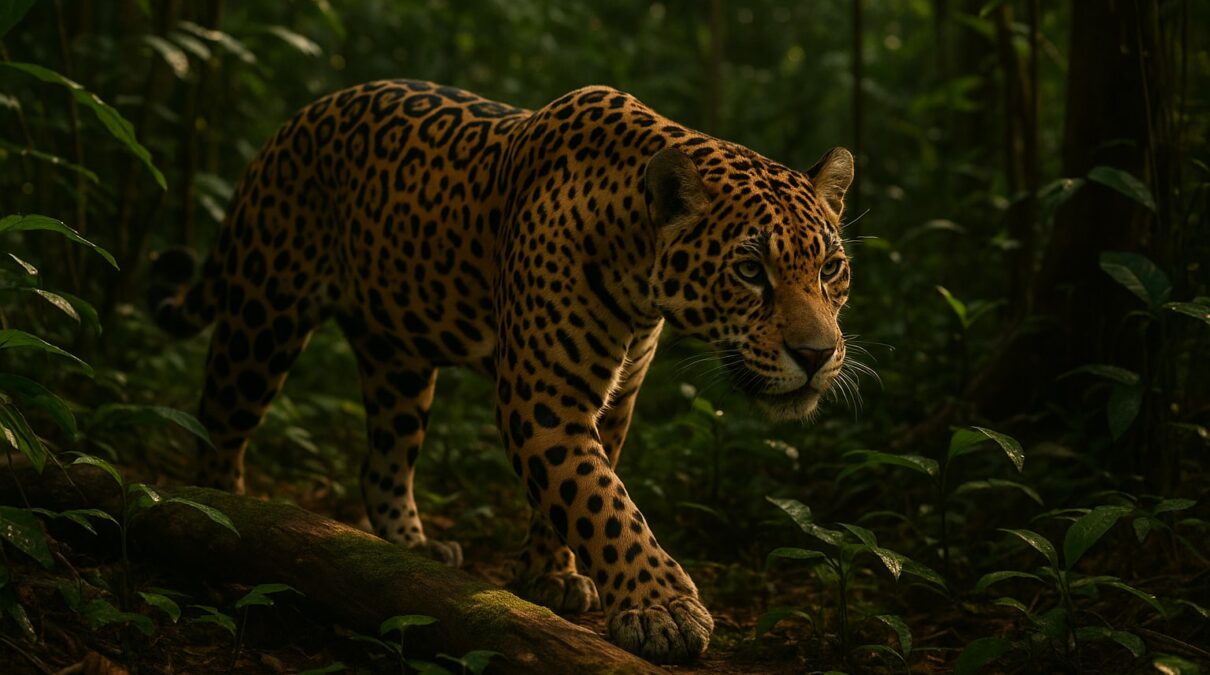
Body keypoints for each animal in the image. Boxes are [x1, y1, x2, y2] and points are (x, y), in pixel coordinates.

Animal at [149, 79, 854, 663]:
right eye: (750, 271)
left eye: (830, 269)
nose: (818, 356)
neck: (637, 269)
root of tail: (293, 121)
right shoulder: (543, 398)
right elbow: (604, 502)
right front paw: (661, 608)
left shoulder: (612, 399)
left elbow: (574, 492)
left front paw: (550, 576)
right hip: (262, 317)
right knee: (218, 426)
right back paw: (224, 525)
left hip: (399, 361)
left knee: (381, 462)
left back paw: (414, 547)